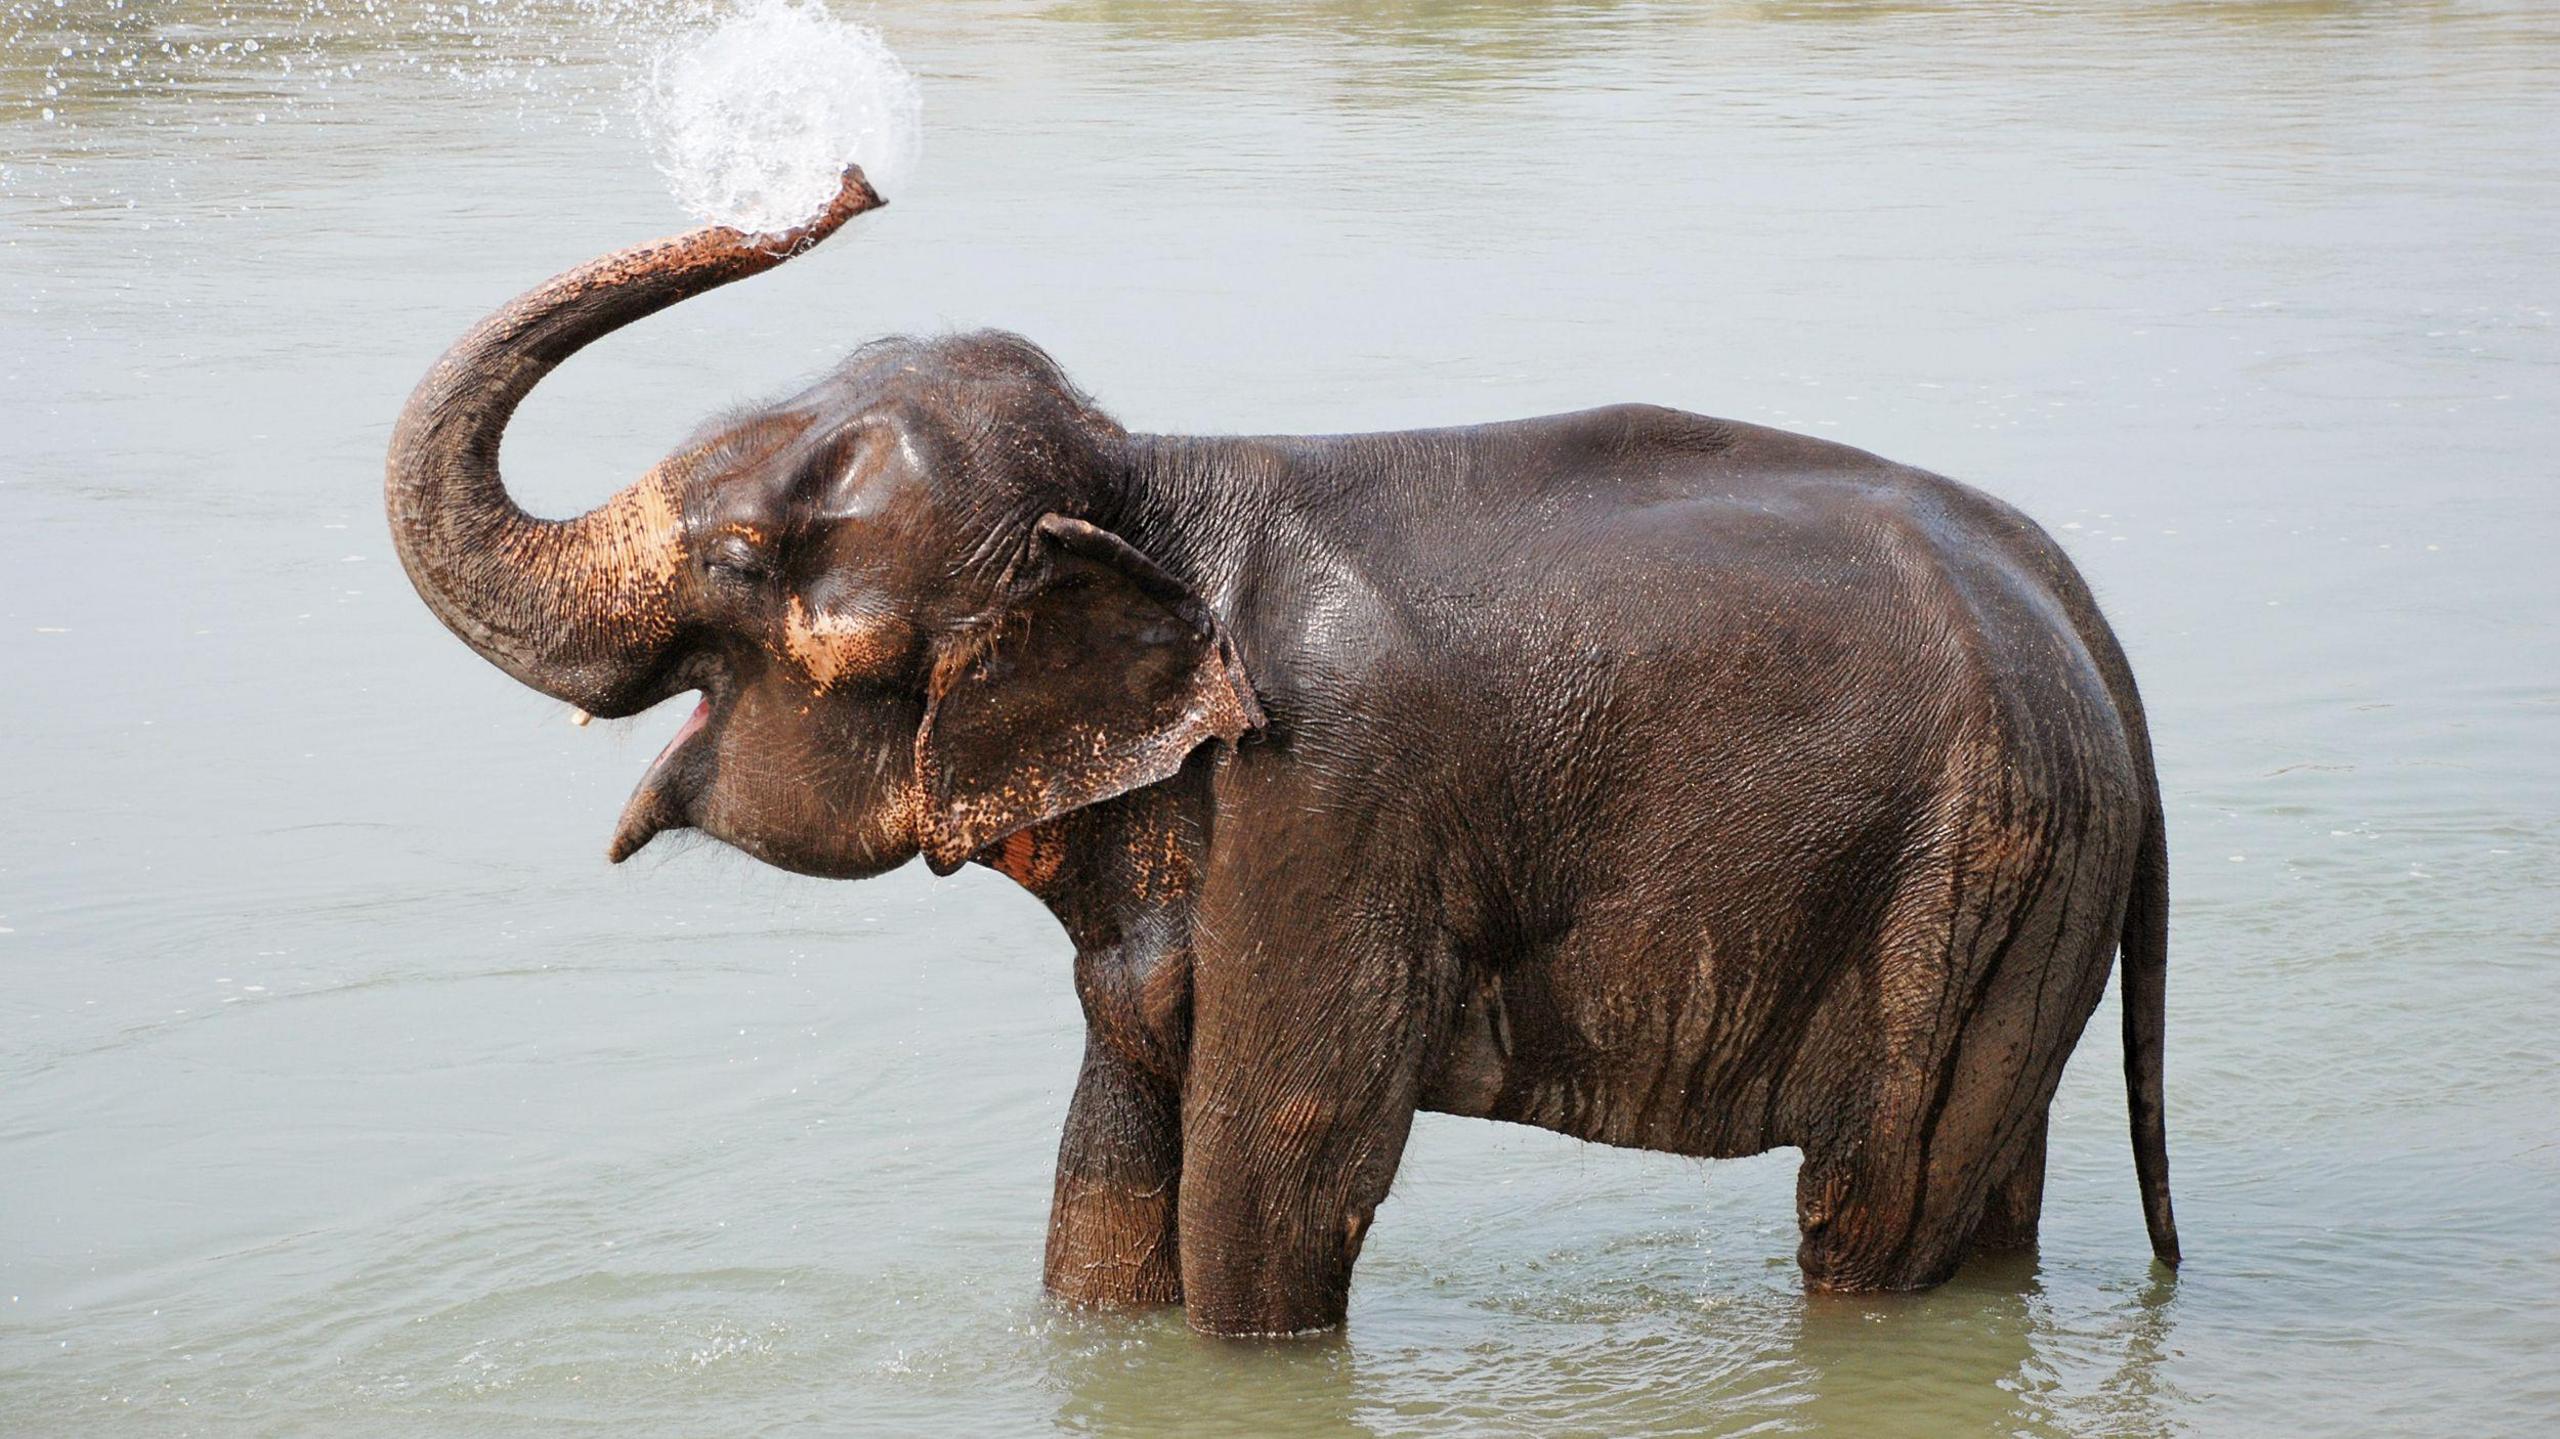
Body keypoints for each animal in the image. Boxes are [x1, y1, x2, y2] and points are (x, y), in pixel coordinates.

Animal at [384, 170, 2181, 1331]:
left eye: (749, 558)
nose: (850, 177)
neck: (1148, 484)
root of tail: (2092, 621)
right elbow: (1112, 1162)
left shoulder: (1334, 805)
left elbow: (1276, 1171)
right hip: (2032, 890)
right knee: (1984, 1191)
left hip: (1962, 873)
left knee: (1872, 1208)